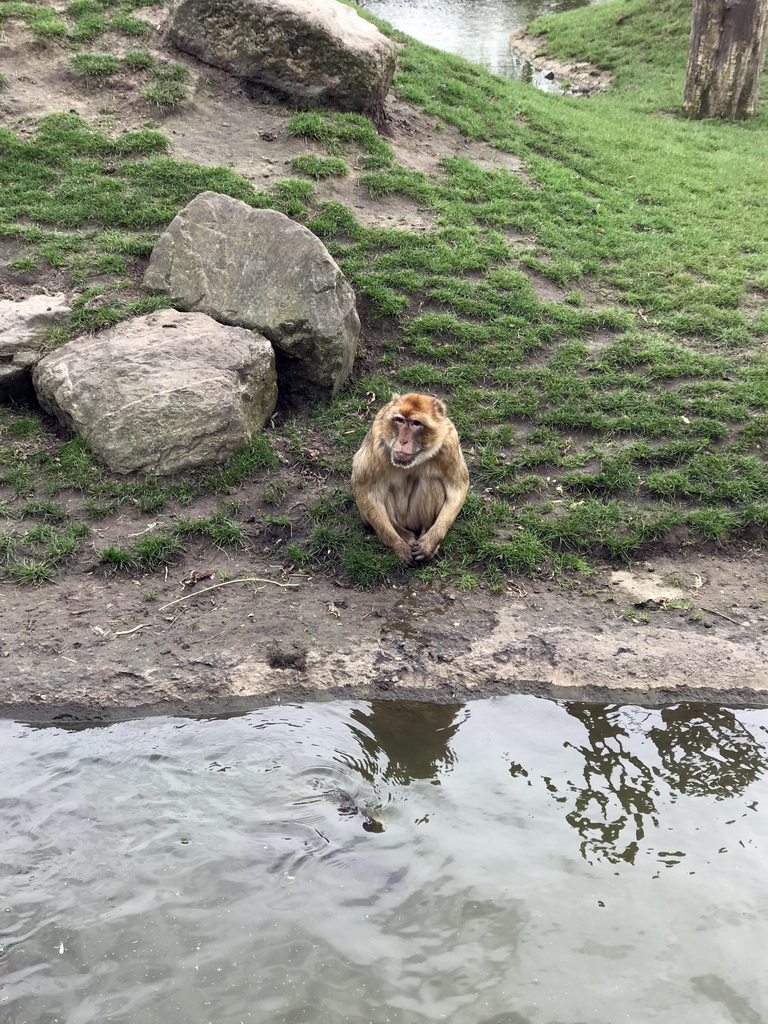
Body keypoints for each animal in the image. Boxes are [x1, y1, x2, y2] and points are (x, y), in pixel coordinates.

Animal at [354, 393, 468, 569]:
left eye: (416, 423)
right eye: (400, 420)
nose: (402, 441)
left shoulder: (450, 443)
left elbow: (458, 489)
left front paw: (431, 541)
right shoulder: (377, 442)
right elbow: (364, 491)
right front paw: (398, 546)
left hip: (414, 519)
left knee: (431, 480)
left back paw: (426, 530)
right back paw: (402, 533)